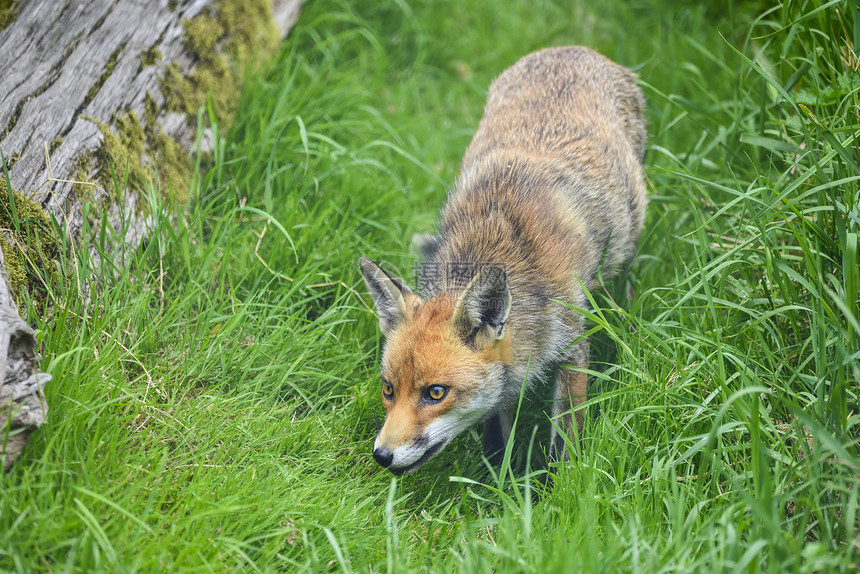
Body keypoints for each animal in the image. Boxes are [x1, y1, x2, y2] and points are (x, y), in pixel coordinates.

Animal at [358, 46, 644, 476]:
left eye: (435, 393)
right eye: (388, 389)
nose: (382, 456)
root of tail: (570, 49)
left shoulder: (573, 346)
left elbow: (564, 440)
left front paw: (557, 487)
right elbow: (496, 433)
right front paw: (499, 480)